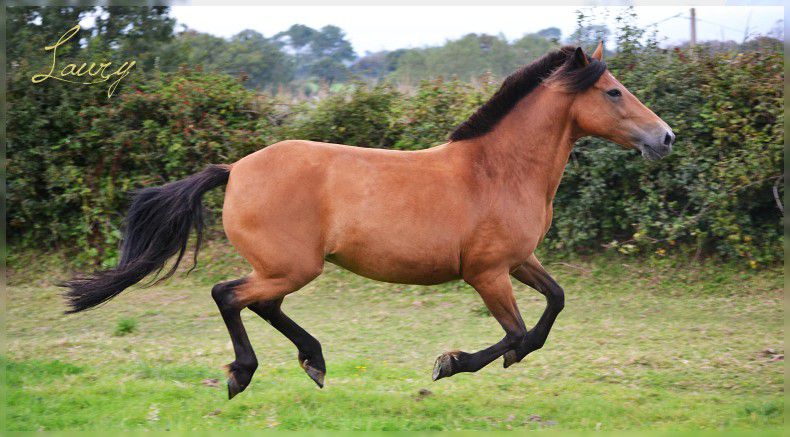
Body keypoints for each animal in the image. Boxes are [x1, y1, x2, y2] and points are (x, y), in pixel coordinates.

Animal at [64, 42, 674, 399]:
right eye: (613, 91)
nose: (665, 137)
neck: (497, 170)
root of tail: (235, 169)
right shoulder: (486, 273)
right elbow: (517, 330)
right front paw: (450, 364)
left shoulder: (519, 260)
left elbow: (554, 304)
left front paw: (505, 359)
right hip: (293, 266)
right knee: (229, 294)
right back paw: (244, 373)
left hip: (287, 268)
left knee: (260, 304)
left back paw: (313, 361)